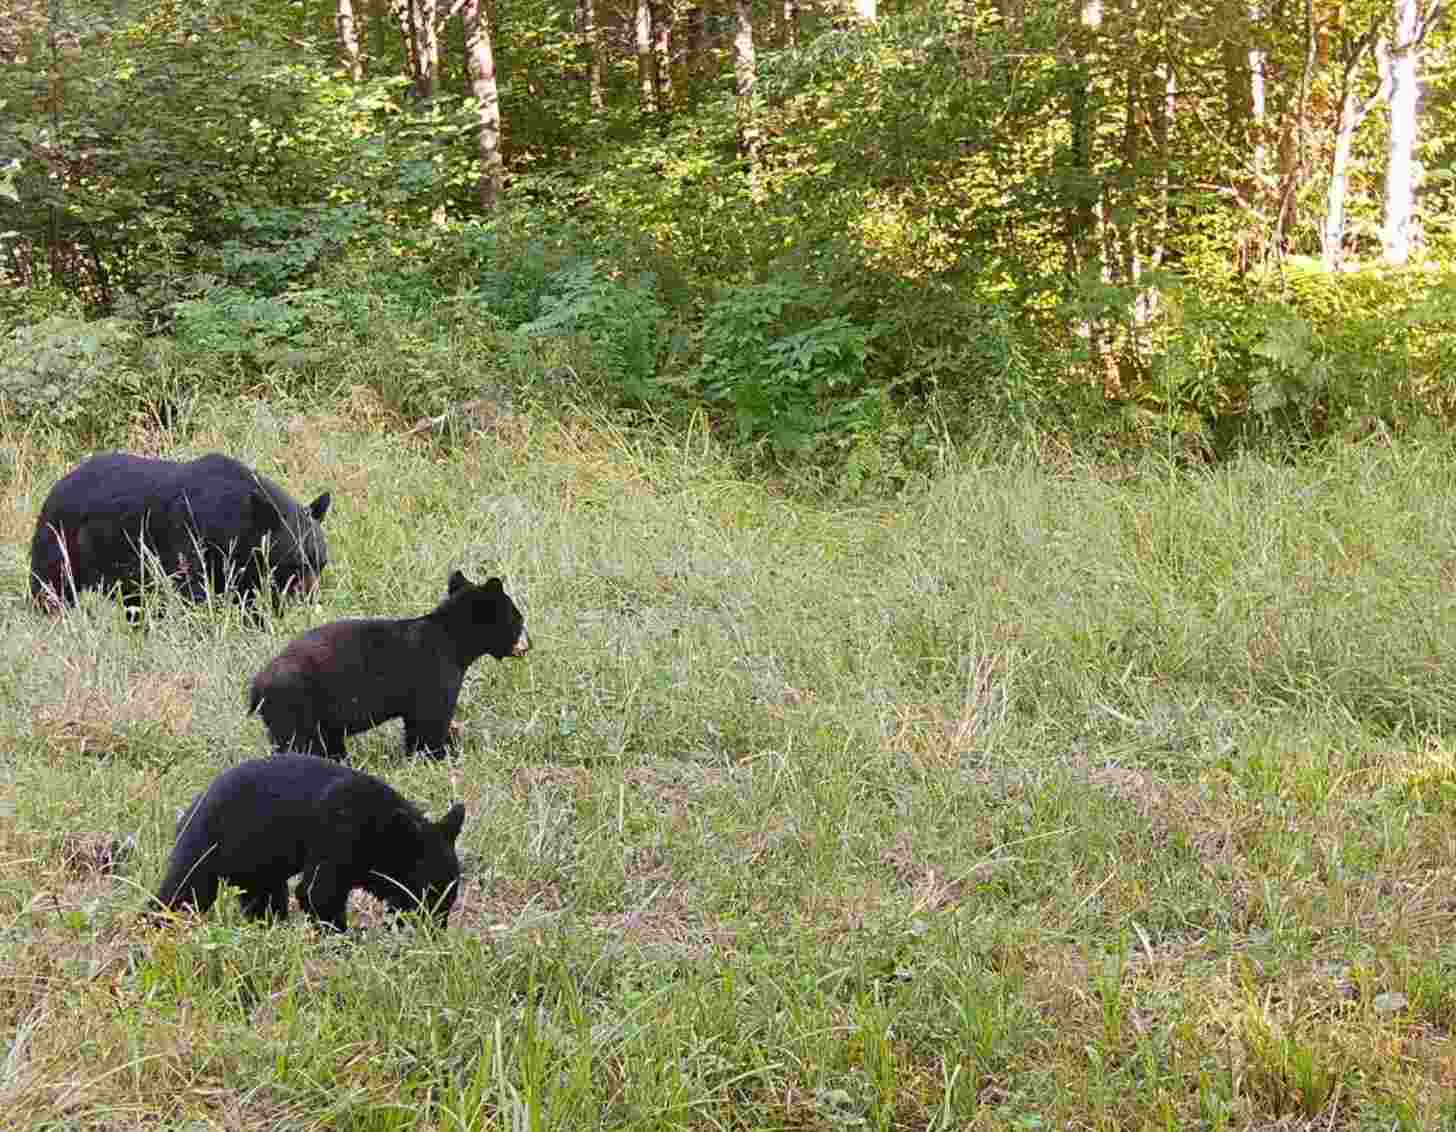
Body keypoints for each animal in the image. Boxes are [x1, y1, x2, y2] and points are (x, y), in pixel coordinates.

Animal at [30, 452, 330, 614]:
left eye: (321, 563)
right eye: (296, 562)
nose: (311, 599)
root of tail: (56, 485)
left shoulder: (241, 562)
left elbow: (247, 597)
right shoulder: (187, 534)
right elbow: (192, 589)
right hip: (61, 539)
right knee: (50, 586)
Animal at [154, 753, 465, 931]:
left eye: (450, 899)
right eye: (427, 894)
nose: (432, 934)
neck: (383, 830)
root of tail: (188, 811)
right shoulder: (339, 833)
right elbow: (318, 893)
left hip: (258, 865)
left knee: (264, 901)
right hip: (204, 847)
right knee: (182, 893)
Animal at [248, 569, 530, 762]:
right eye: (518, 618)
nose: (529, 644)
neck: (453, 638)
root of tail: (256, 687)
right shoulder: (435, 674)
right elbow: (430, 720)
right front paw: (439, 755)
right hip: (296, 709)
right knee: (300, 744)